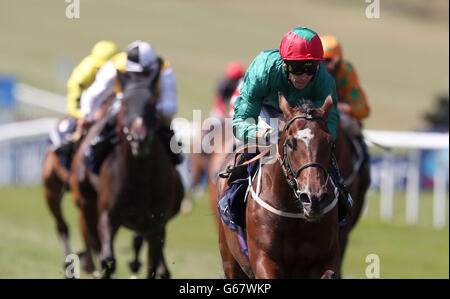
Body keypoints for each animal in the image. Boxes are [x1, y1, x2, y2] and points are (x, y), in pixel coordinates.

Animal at [70, 74, 183, 280]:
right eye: (125, 102)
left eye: (152, 103)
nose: (139, 139)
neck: (139, 179)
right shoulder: (108, 215)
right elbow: (108, 259)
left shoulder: (157, 224)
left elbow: (152, 264)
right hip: (86, 201)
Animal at [215, 95, 342, 280]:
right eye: (290, 143)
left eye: (330, 143)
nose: (314, 198)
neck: (295, 214)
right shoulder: (263, 259)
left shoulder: (327, 258)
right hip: (231, 263)